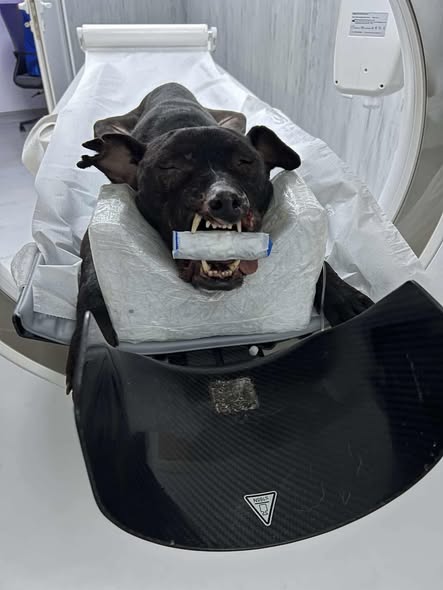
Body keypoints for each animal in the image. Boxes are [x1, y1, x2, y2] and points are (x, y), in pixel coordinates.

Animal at [66, 82, 372, 391]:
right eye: (169, 166)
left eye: (246, 162)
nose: (225, 199)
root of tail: (168, 85)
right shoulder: (88, 241)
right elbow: (90, 279)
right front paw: (90, 332)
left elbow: (321, 262)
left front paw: (345, 295)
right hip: (105, 126)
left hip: (236, 118)